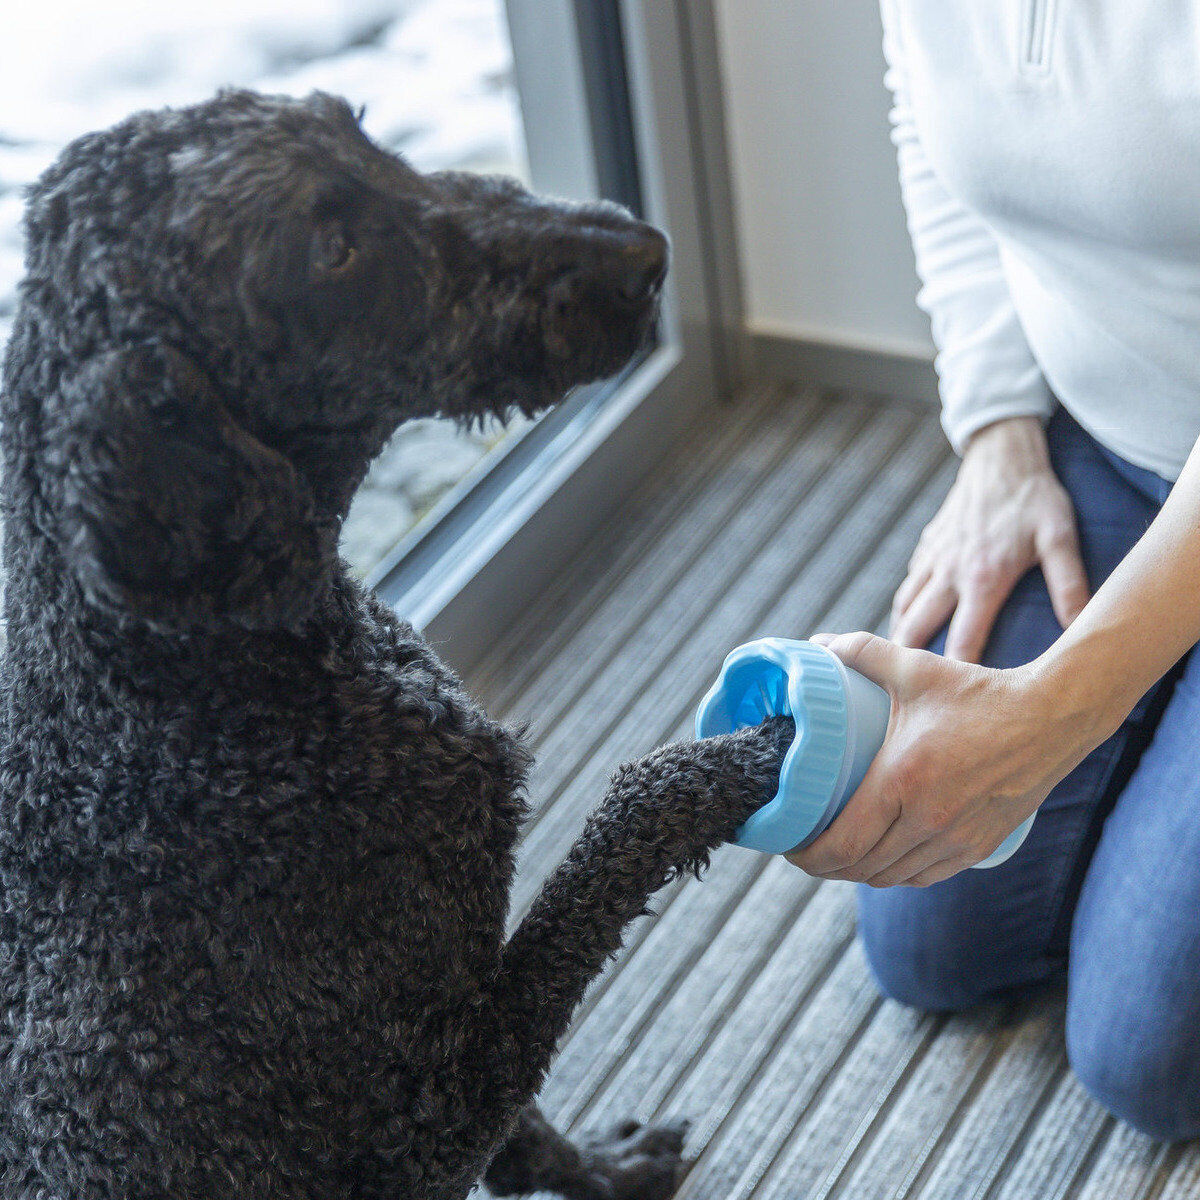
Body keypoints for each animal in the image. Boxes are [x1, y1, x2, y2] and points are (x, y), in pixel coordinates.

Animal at [0, 91, 796, 1200]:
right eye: (333, 249)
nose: (643, 252)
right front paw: (723, 766)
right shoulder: (423, 1124)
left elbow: (531, 1130)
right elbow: (602, 859)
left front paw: (601, 1168)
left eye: (362, 131)